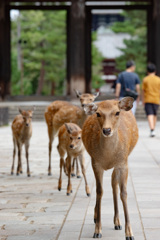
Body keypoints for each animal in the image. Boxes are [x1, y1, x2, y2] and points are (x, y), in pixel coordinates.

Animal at [82, 97, 138, 240]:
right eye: (98, 113)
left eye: (117, 112)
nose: (107, 130)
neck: (108, 157)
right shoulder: (96, 163)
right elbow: (99, 191)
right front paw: (97, 231)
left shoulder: (123, 163)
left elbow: (124, 193)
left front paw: (129, 233)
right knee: (109, 185)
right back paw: (97, 217)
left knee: (114, 184)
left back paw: (117, 222)